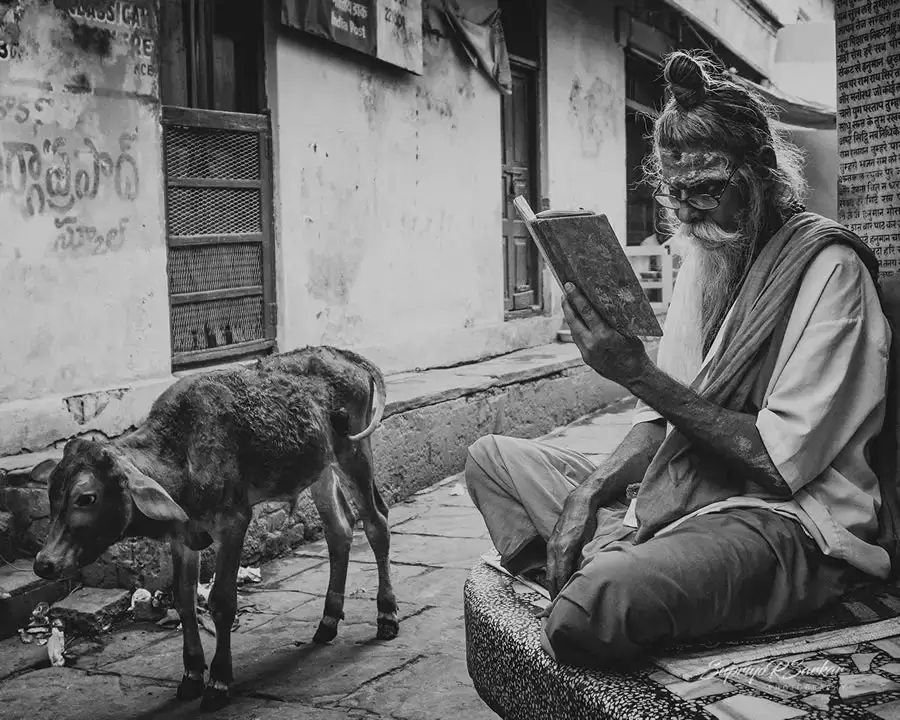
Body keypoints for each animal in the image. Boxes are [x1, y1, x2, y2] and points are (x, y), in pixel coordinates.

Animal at [32, 346, 398, 712]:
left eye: (86, 498)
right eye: (51, 492)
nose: (44, 563)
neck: (182, 454)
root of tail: (344, 354)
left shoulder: (234, 521)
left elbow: (222, 600)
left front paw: (219, 681)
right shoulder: (182, 537)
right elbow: (183, 599)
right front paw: (192, 674)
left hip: (354, 453)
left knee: (377, 523)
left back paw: (387, 616)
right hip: (320, 469)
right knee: (339, 530)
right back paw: (328, 621)